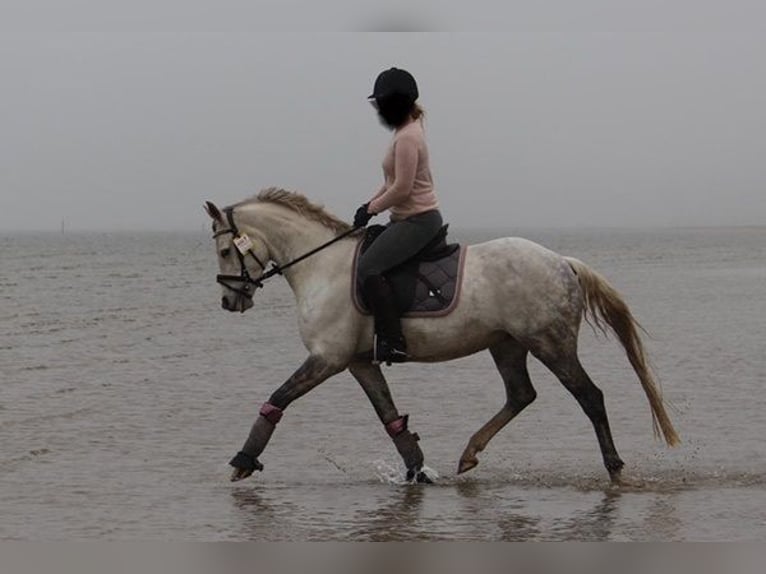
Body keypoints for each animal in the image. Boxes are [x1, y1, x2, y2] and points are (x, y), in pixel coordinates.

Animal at [206, 190, 684, 486]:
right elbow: (390, 418)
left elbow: (278, 399)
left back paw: (615, 469)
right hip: (506, 344)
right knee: (521, 395)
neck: (322, 266)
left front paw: (242, 463)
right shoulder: (359, 362)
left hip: (550, 343)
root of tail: (562, 261)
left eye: (226, 250)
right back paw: (469, 454)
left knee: (589, 396)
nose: (230, 301)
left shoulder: (328, 358)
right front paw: (418, 472)